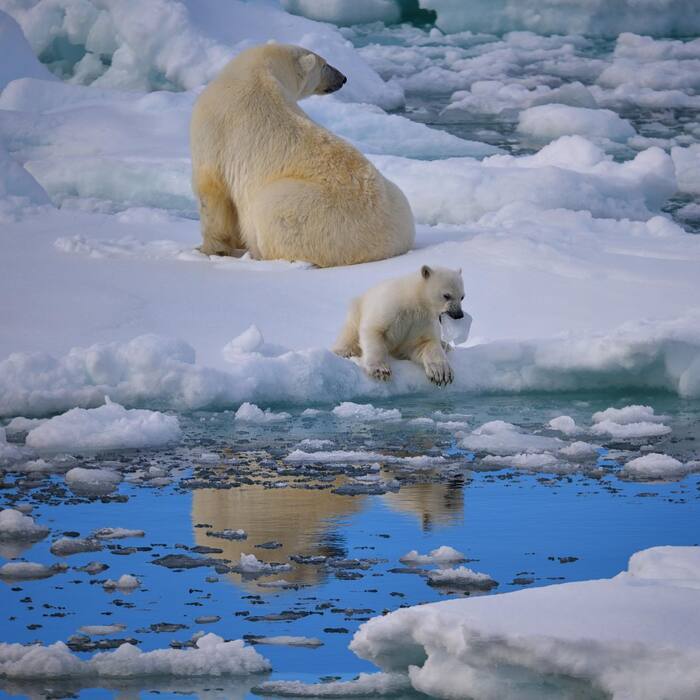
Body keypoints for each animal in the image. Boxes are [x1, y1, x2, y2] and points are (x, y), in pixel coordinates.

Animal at [189, 43, 412, 266]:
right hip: (397, 198)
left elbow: (212, 193)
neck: (258, 71)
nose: (343, 78)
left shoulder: (214, 131)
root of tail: (387, 246)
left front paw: (208, 249)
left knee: (270, 211)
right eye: (325, 65)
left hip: (311, 212)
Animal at [334, 266, 464, 386]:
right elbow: (374, 330)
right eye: (446, 295)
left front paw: (441, 373)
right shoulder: (392, 308)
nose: (459, 315)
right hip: (357, 310)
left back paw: (446, 346)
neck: (414, 300)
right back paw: (343, 351)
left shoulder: (421, 322)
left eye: (462, 297)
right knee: (350, 332)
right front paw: (380, 370)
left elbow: (425, 344)